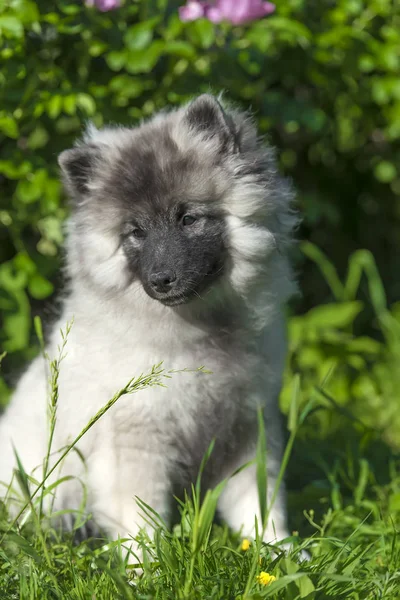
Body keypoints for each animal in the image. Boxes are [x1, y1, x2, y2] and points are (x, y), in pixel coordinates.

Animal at [0, 95, 296, 556]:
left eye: (188, 218)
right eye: (135, 232)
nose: (161, 280)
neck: (197, 333)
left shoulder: (248, 428)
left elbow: (259, 502)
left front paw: (277, 550)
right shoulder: (137, 441)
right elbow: (143, 521)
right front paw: (148, 565)